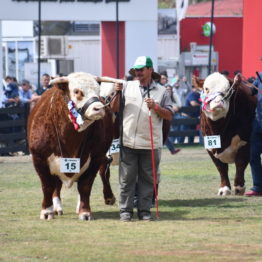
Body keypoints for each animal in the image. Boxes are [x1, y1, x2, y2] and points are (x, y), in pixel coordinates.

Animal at [27, 72, 116, 221]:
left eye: (98, 91)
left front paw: (85, 212)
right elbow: (47, 185)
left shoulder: (96, 157)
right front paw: (47, 211)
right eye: (77, 91)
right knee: (56, 185)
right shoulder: (39, 157)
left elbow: (85, 186)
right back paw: (57, 207)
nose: (99, 108)